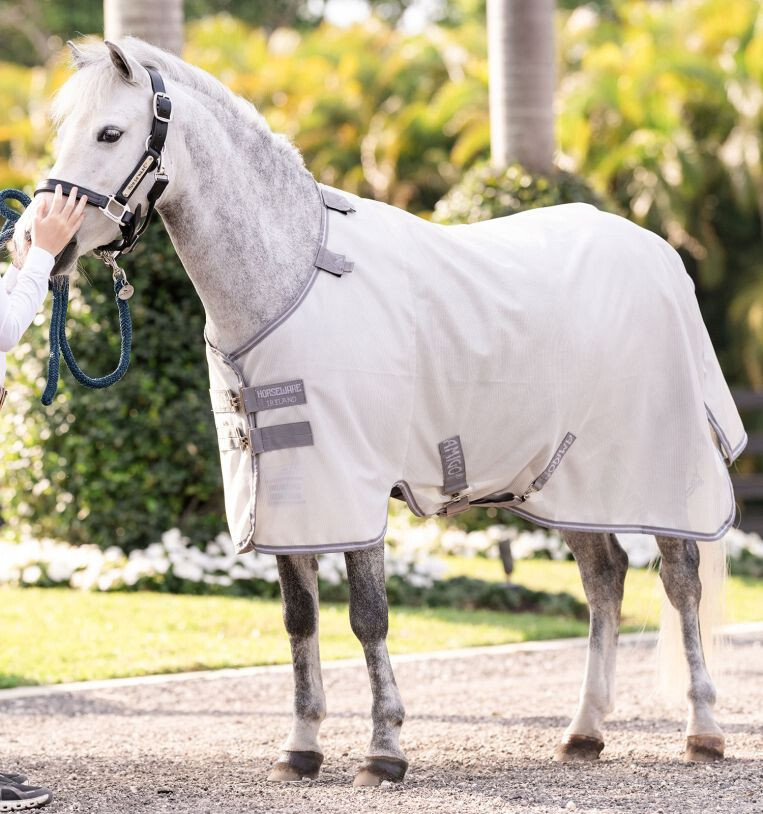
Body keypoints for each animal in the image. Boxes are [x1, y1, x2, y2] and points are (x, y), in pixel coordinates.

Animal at [12, 37, 742, 785]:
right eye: (63, 129)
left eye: (110, 132)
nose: (40, 238)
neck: (293, 277)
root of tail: (660, 254)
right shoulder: (289, 489)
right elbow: (300, 619)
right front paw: (301, 748)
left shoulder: (353, 483)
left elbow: (367, 617)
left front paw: (384, 750)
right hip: (567, 485)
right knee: (604, 579)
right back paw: (583, 732)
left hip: (656, 480)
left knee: (680, 584)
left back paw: (703, 730)